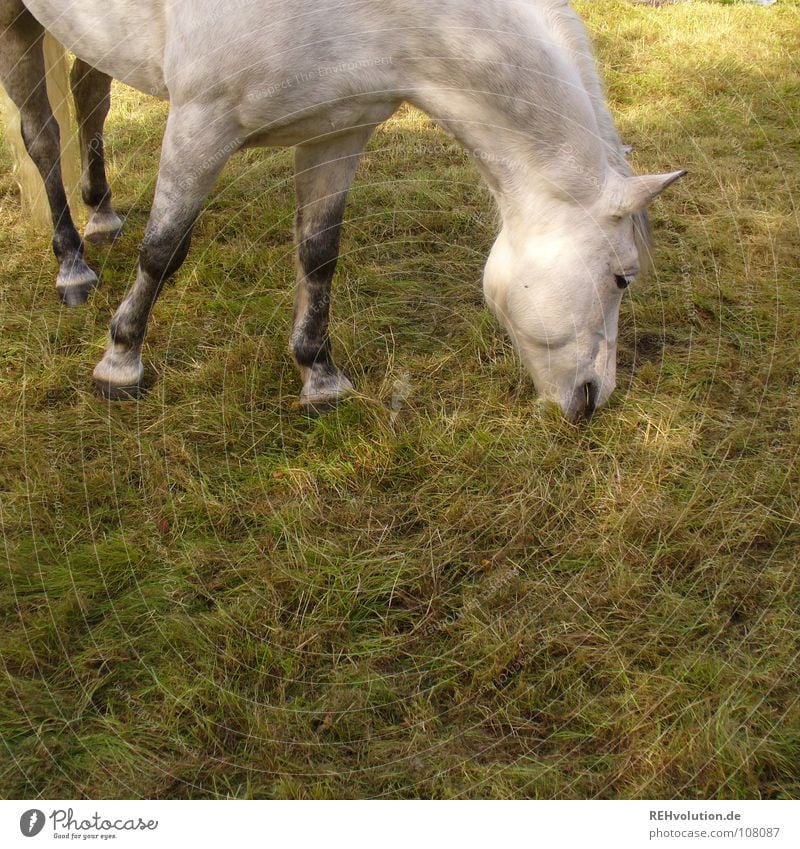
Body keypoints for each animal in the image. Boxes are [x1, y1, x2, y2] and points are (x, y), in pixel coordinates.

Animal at [7, 1, 680, 420]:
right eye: (623, 277)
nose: (593, 399)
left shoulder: (338, 133)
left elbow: (318, 254)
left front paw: (319, 377)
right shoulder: (201, 123)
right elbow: (164, 248)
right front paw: (120, 362)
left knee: (90, 96)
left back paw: (101, 216)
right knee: (42, 135)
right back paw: (72, 265)